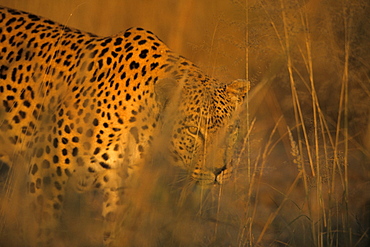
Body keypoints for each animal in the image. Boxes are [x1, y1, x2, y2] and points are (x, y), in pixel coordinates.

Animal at [0, 5, 249, 245]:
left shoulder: (121, 188)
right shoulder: (46, 174)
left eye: (231, 131)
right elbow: (44, 230)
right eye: (193, 131)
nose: (219, 171)